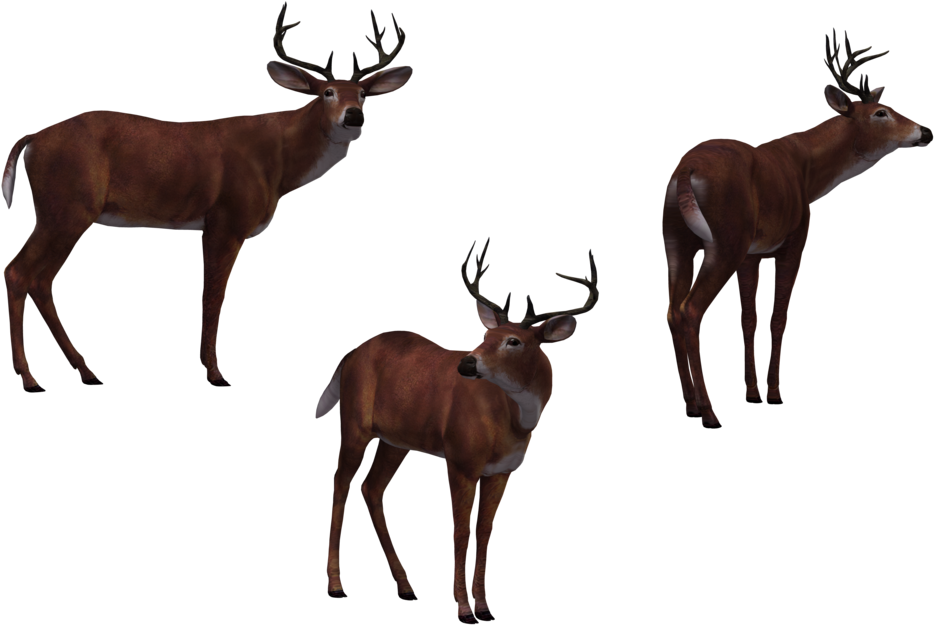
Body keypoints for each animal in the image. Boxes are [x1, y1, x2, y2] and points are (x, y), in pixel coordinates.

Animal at [1, 2, 412, 392]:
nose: (354, 116)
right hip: (67, 208)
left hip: (61, 212)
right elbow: (214, 299)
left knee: (40, 280)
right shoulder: (226, 221)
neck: (277, 161)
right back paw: (30, 380)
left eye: (363, 94)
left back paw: (86, 373)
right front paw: (216, 374)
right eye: (327, 93)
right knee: (19, 272)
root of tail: (32, 138)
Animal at [314, 238, 599, 624]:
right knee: (340, 485)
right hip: (355, 423)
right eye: (486, 333)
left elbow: (484, 533)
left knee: (371, 488)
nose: (467, 363)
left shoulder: (502, 471)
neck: (511, 421)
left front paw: (485, 608)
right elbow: (461, 531)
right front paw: (464, 609)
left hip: (396, 441)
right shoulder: (461, 459)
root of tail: (351, 353)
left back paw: (406, 588)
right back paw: (336, 587)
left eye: (514, 341)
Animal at [663, 28, 931, 428]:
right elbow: (778, 319)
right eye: (881, 112)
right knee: (690, 309)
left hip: (677, 241)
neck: (806, 171)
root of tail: (686, 170)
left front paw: (752, 394)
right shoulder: (794, 241)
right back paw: (710, 413)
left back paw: (691, 406)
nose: (925, 131)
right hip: (725, 241)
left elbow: (748, 319)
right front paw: (773, 396)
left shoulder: (752, 255)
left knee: (671, 310)